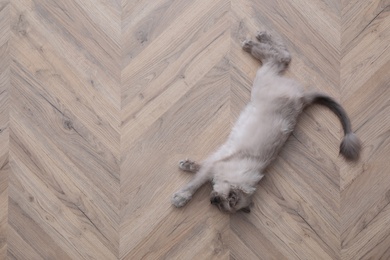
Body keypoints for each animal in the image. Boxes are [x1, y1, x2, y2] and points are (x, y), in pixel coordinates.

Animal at [172, 30, 362, 213]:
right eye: (228, 199)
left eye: (225, 205)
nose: (213, 201)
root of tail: (303, 99)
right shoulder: (214, 166)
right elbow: (194, 182)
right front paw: (181, 196)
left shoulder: (215, 164)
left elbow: (198, 171)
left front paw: (185, 169)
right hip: (262, 80)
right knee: (280, 57)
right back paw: (254, 40)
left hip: (263, 79)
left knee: (281, 57)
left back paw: (255, 40)